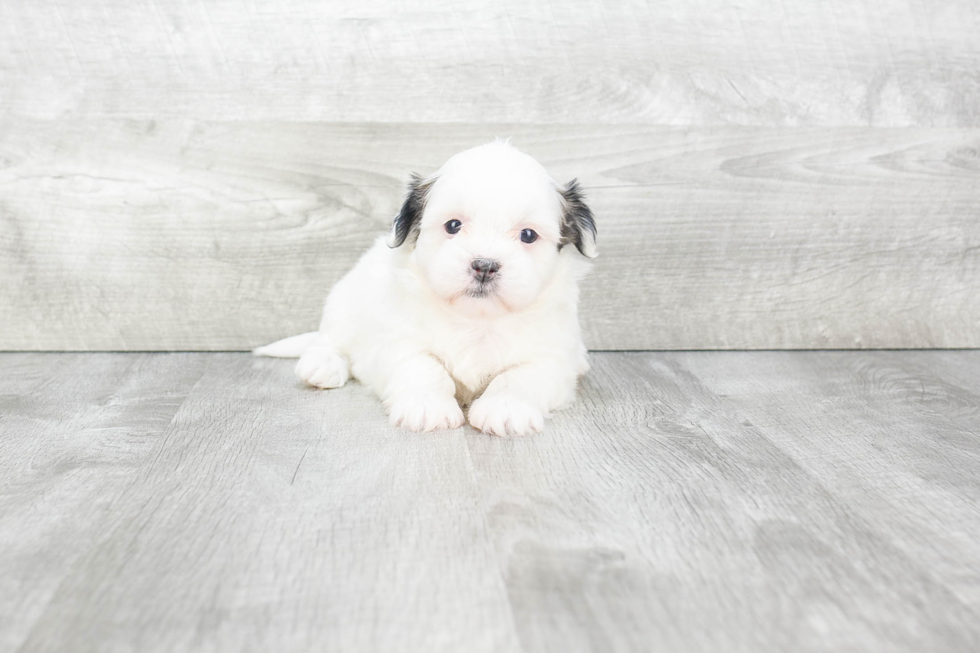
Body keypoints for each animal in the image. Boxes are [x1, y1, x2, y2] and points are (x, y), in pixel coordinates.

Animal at [253, 141, 592, 432]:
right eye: (453, 226)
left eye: (528, 235)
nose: (484, 265)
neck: (477, 319)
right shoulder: (398, 340)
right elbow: (423, 367)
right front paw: (428, 407)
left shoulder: (552, 356)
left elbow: (521, 376)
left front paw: (505, 408)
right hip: (344, 302)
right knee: (329, 340)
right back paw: (322, 365)